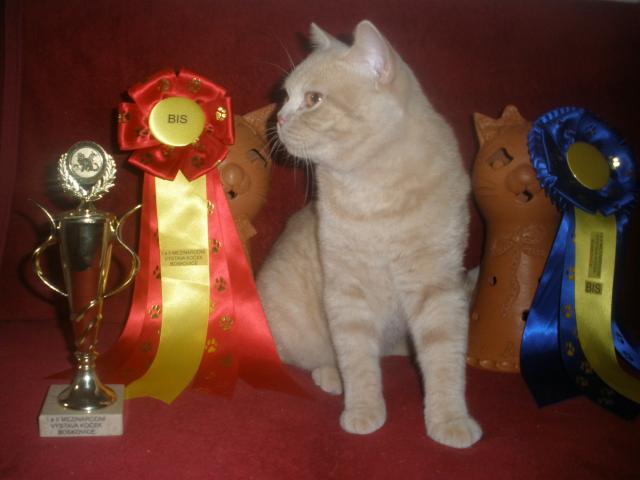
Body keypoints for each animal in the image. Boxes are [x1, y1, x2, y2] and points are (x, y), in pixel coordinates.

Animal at [257, 20, 482, 448]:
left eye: (312, 99)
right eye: (286, 96)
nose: (278, 120)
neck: (376, 194)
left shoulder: (439, 288)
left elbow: (445, 359)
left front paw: (449, 418)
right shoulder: (347, 291)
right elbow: (357, 359)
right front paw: (363, 409)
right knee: (304, 356)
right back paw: (330, 374)